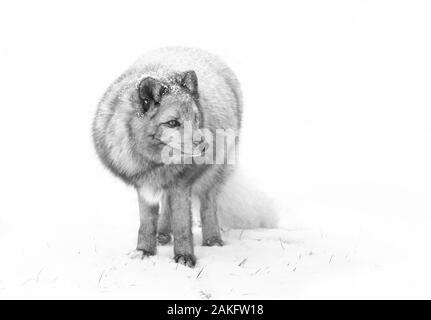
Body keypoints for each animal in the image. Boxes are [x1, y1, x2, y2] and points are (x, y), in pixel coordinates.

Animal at [93, 46, 278, 266]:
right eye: (172, 123)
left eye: (196, 119)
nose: (205, 146)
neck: (154, 163)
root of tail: (193, 49)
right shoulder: (144, 185)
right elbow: (146, 224)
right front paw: (144, 252)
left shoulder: (182, 184)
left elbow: (182, 225)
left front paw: (184, 258)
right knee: (166, 205)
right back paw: (163, 234)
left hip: (212, 175)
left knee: (208, 206)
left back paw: (212, 240)